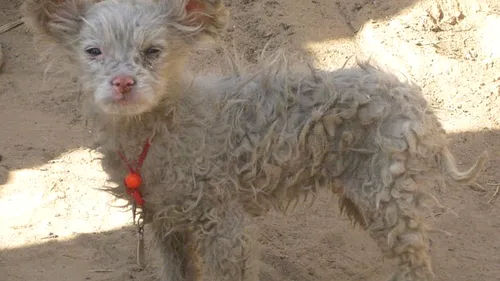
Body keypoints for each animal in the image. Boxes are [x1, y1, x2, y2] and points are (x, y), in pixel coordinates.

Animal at [21, 0, 486, 280]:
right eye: (93, 52)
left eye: (153, 51)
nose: (122, 83)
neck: (163, 132)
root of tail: (415, 99)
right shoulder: (165, 224)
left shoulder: (225, 226)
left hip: (388, 198)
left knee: (416, 264)